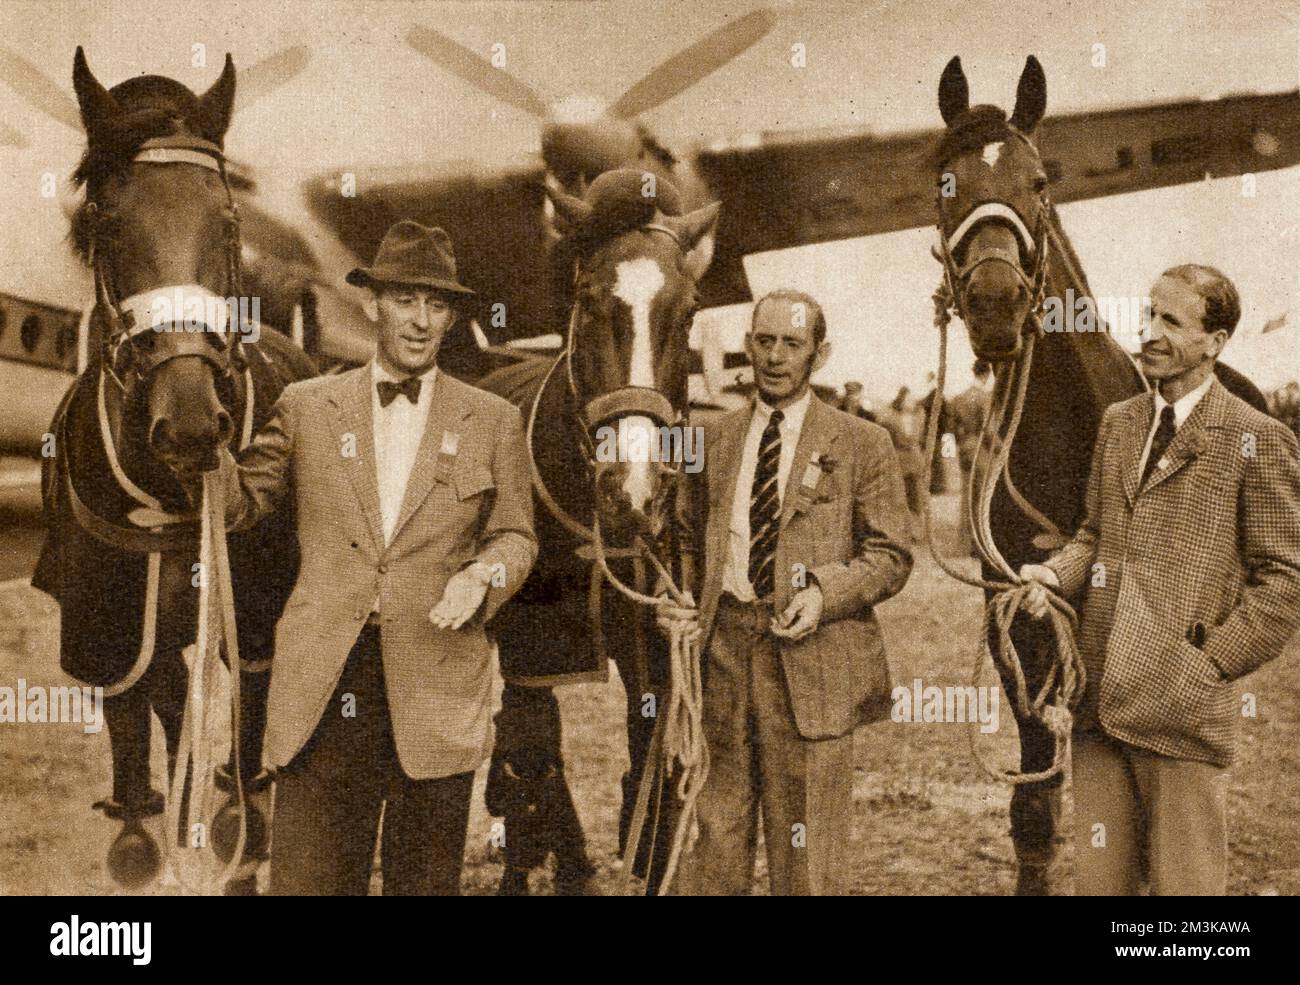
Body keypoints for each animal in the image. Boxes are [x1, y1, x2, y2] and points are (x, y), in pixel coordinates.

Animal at [31, 46, 315, 894]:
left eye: (226, 221)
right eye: (101, 224)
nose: (189, 423)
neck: (170, 493)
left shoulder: (255, 622)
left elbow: (245, 786)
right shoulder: (111, 631)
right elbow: (138, 741)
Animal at [478, 170, 722, 894]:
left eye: (690, 309)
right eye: (588, 302)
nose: (634, 492)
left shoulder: (659, 647)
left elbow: (651, 766)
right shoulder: (531, 652)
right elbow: (532, 755)